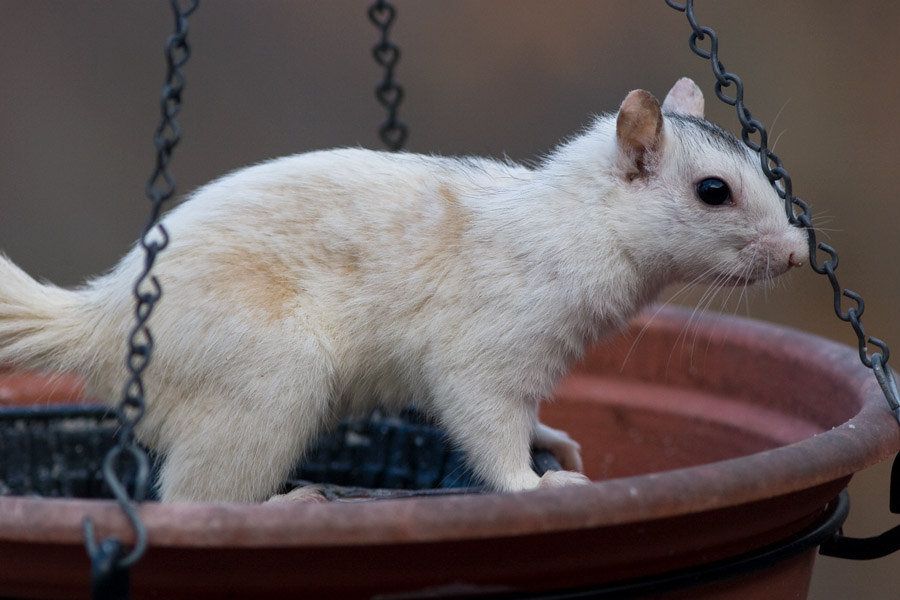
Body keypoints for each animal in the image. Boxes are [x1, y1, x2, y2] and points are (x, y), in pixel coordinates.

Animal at [0, 78, 808, 502]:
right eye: (713, 191)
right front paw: (535, 487)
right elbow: (485, 421)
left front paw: (553, 443)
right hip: (261, 386)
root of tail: (101, 323)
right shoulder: (488, 343)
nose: (799, 251)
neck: (575, 225)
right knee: (200, 503)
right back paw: (296, 503)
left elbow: (527, 417)